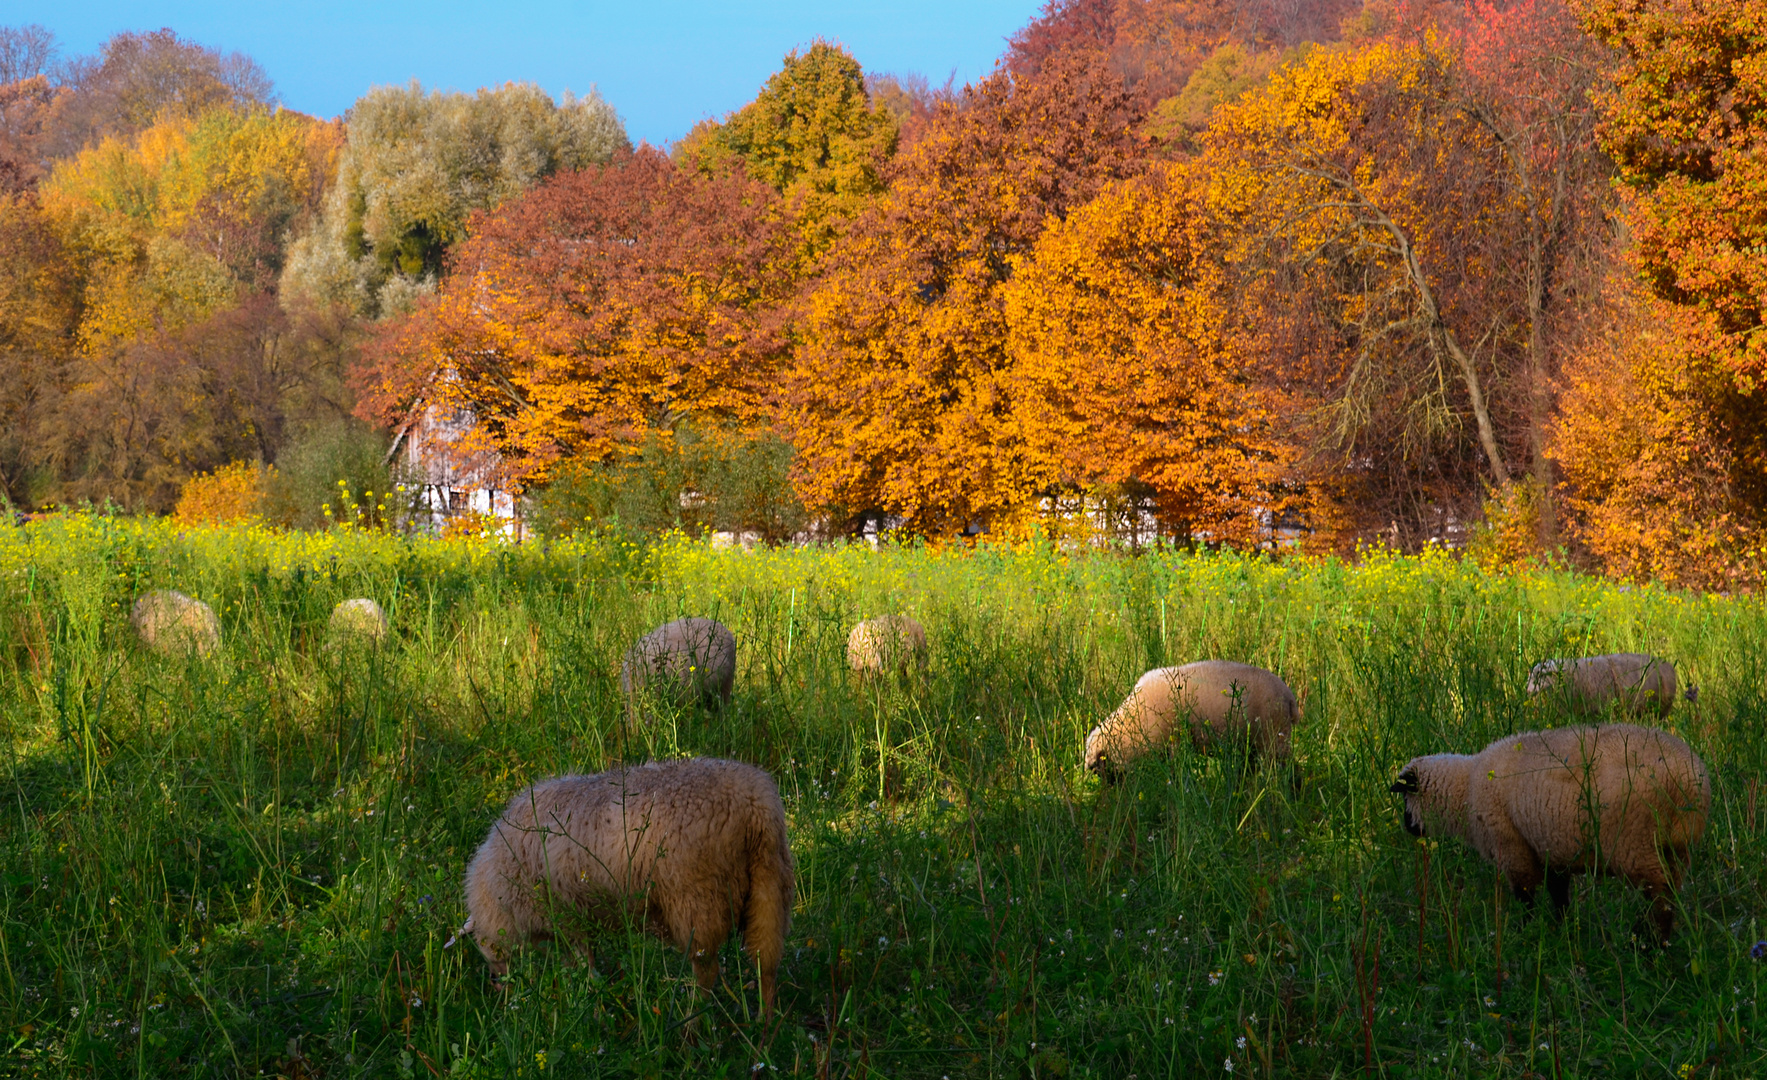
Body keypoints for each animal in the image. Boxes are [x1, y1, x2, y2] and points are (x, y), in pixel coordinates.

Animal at [470, 756, 802, 1018]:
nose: (497, 986)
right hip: (770, 886)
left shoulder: (565, 915)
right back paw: (763, 1026)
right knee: (766, 963)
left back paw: (692, 1027)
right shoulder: (574, 918)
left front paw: (591, 1001)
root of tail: (755, 805)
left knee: (707, 972)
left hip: (697, 900)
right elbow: (578, 963)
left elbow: (583, 962)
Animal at [1392, 728, 1710, 947]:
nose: (1408, 827)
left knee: (1661, 898)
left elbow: (1526, 898)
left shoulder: (1514, 849)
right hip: (1675, 849)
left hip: (1636, 843)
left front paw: (1526, 932)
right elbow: (1559, 895)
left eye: (1405, 798)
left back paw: (1653, 945)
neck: (1466, 788)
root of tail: (1689, 779)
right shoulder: (1552, 850)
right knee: (1668, 892)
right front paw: (1563, 929)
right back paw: (1646, 937)